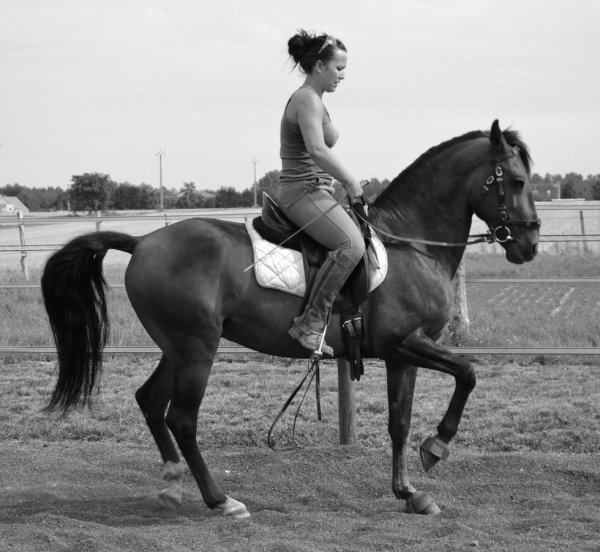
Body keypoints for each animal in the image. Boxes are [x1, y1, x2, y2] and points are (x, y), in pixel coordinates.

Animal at [41, 119, 540, 518]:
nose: (530, 244)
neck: (411, 244)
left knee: (149, 400)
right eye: (515, 181)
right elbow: (468, 373)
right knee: (182, 418)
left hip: (178, 349)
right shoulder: (405, 343)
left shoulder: (404, 355)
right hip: (197, 350)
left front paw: (409, 492)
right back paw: (219, 499)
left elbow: (400, 421)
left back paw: (173, 482)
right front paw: (437, 446)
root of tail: (142, 242)